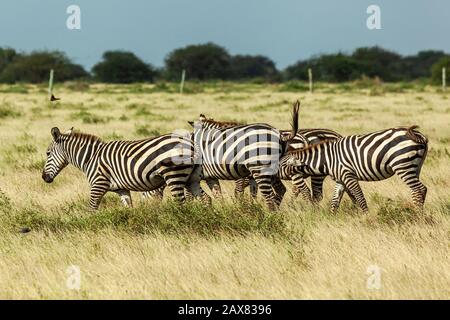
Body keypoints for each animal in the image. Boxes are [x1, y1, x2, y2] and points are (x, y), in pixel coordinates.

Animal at [41, 127, 207, 210]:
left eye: (47, 153)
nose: (44, 177)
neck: (91, 157)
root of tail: (191, 144)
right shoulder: (122, 189)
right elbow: (128, 209)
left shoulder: (98, 185)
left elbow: (91, 208)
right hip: (191, 178)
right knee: (206, 199)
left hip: (174, 175)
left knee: (181, 203)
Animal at [286, 125, 428, 212]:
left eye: (283, 165)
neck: (328, 158)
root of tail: (419, 134)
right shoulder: (340, 179)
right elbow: (335, 201)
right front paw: (331, 218)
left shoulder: (348, 175)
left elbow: (360, 197)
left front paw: (367, 217)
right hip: (415, 167)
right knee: (417, 190)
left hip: (402, 165)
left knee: (419, 189)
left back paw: (417, 216)